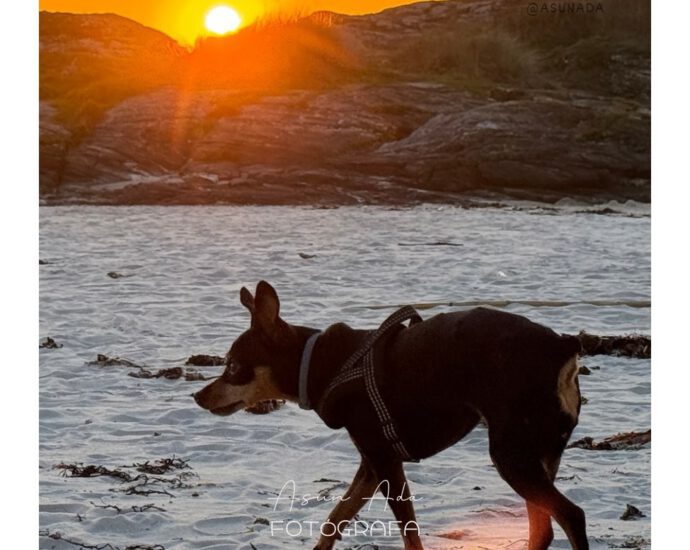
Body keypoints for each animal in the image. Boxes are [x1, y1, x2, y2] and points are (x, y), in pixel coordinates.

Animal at [194, 282, 584, 548]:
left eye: (233, 366)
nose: (197, 396)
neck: (319, 363)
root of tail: (560, 348)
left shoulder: (386, 463)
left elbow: (410, 535)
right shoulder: (370, 466)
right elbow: (335, 520)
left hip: (511, 455)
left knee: (571, 516)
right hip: (540, 453)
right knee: (543, 528)